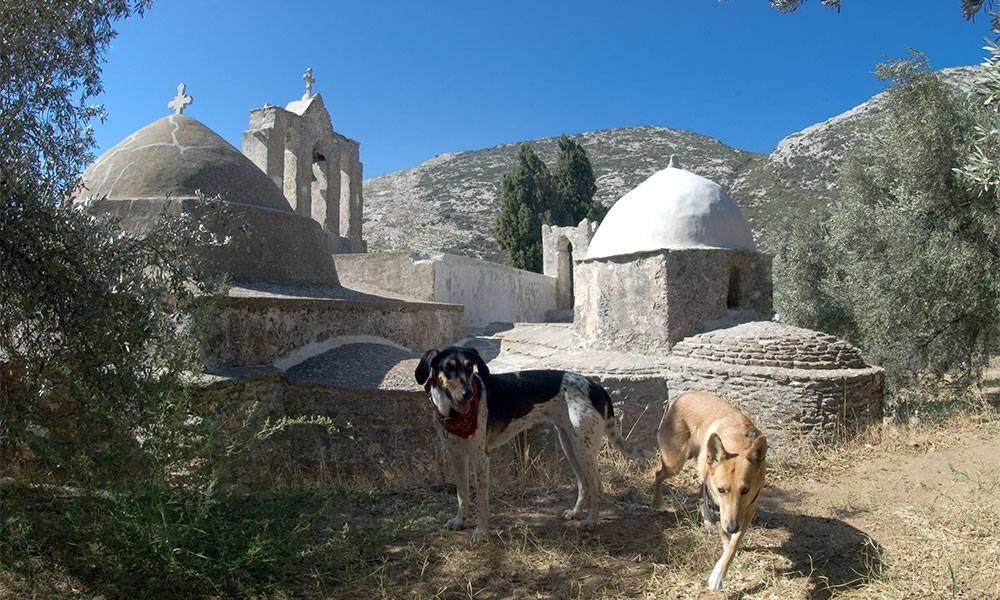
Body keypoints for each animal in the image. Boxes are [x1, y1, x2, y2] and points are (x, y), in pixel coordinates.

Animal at [412, 344, 652, 540]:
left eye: (470, 367)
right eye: (448, 368)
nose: (468, 394)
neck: (452, 413)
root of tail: (596, 386)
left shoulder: (481, 458)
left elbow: (481, 500)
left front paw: (481, 532)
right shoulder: (457, 456)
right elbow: (462, 496)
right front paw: (459, 522)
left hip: (583, 450)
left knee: (598, 487)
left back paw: (591, 522)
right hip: (570, 445)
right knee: (584, 484)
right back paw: (575, 513)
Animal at [652, 392, 768, 592]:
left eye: (745, 490)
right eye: (722, 490)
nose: (732, 527)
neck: (737, 442)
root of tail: (681, 396)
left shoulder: (748, 510)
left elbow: (733, 544)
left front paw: (719, 571)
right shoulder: (719, 503)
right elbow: (724, 532)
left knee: (701, 491)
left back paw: (707, 522)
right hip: (675, 463)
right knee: (658, 475)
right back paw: (657, 504)